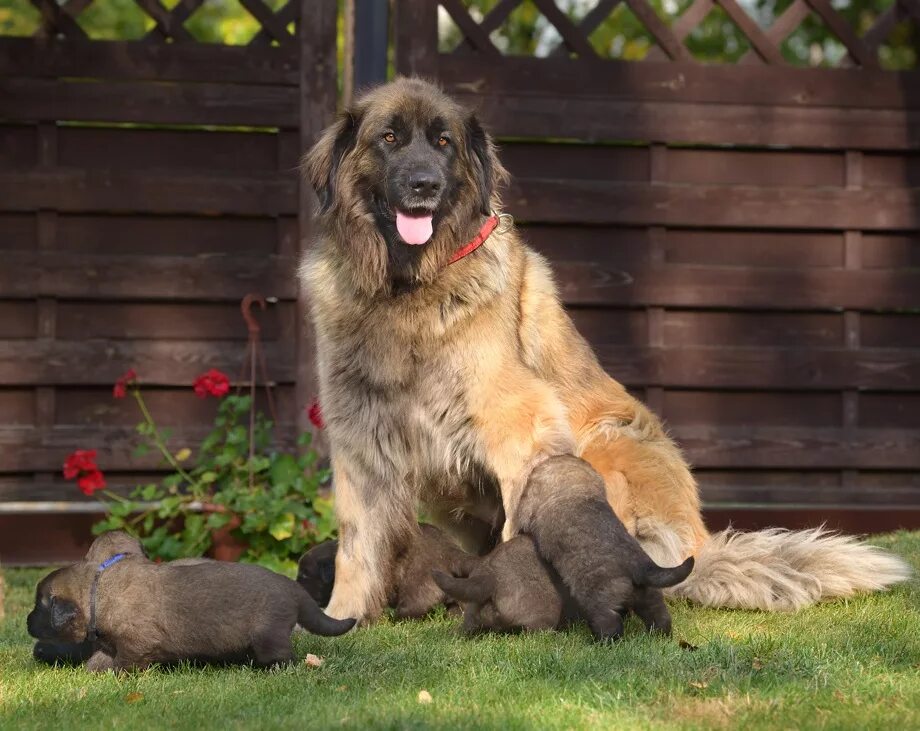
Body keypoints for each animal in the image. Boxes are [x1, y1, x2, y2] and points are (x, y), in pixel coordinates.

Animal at [25, 528, 356, 672]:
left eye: (39, 605)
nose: (26, 622)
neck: (99, 591)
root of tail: (292, 588)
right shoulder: (111, 642)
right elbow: (101, 658)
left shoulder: (137, 643)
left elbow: (124, 663)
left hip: (269, 636)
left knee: (284, 657)